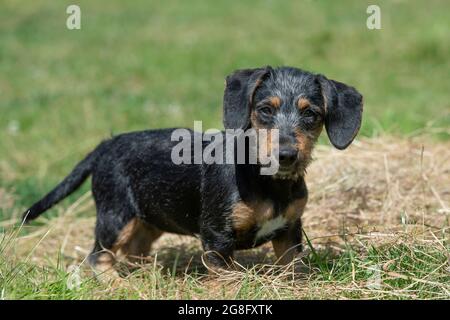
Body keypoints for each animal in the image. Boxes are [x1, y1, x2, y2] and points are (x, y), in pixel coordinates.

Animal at [22, 66, 364, 276]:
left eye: (311, 114)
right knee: (98, 256)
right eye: (265, 110)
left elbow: (291, 269)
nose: (286, 155)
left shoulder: (290, 232)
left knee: (133, 249)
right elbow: (225, 277)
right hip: (115, 216)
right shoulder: (217, 237)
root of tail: (106, 144)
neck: (266, 182)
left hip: (149, 218)